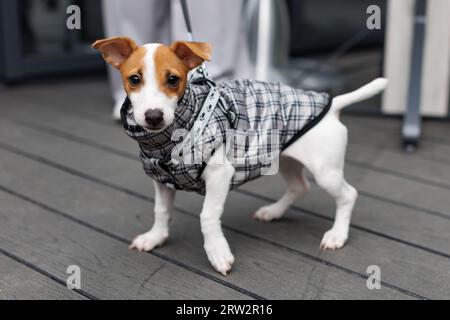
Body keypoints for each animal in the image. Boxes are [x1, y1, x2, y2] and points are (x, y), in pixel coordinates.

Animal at [91, 37, 386, 276]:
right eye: (134, 79)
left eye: (173, 79)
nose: (153, 116)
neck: (166, 142)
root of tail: (332, 104)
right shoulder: (162, 180)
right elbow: (161, 211)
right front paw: (155, 237)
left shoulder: (220, 176)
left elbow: (207, 216)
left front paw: (217, 253)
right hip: (284, 159)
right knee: (299, 186)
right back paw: (273, 212)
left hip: (326, 171)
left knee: (347, 195)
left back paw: (337, 235)